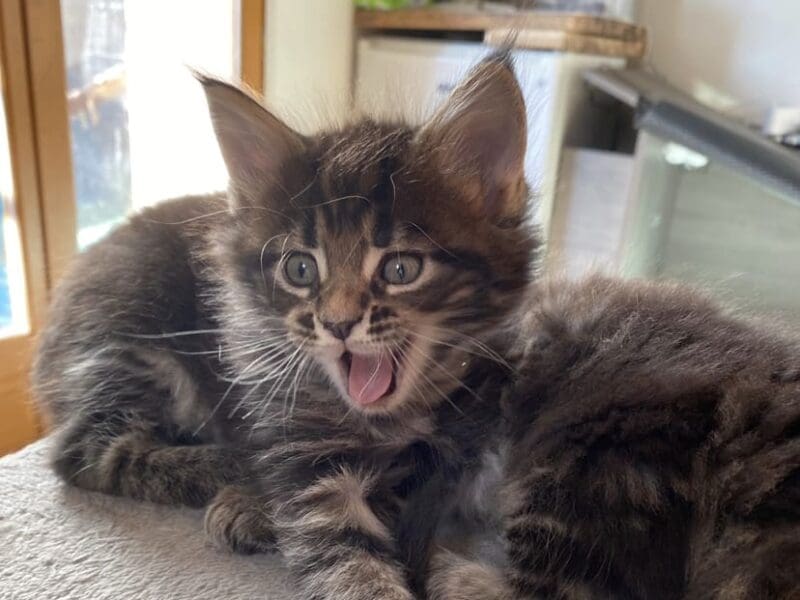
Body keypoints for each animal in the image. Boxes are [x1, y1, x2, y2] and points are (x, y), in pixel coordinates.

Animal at [32, 52, 536, 600]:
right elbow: (340, 536)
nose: (337, 323)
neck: (390, 419)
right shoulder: (299, 436)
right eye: (300, 269)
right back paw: (235, 469)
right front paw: (257, 503)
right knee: (86, 452)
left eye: (401, 269)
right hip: (131, 342)